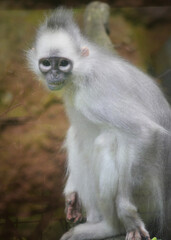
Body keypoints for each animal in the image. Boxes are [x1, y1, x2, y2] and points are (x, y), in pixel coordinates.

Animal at [26, 7, 171, 240]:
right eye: (47, 63)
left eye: (63, 63)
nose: (54, 74)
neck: (81, 74)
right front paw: (72, 194)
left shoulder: (94, 94)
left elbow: (145, 132)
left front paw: (126, 212)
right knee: (77, 136)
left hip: (149, 195)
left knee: (107, 141)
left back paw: (110, 228)